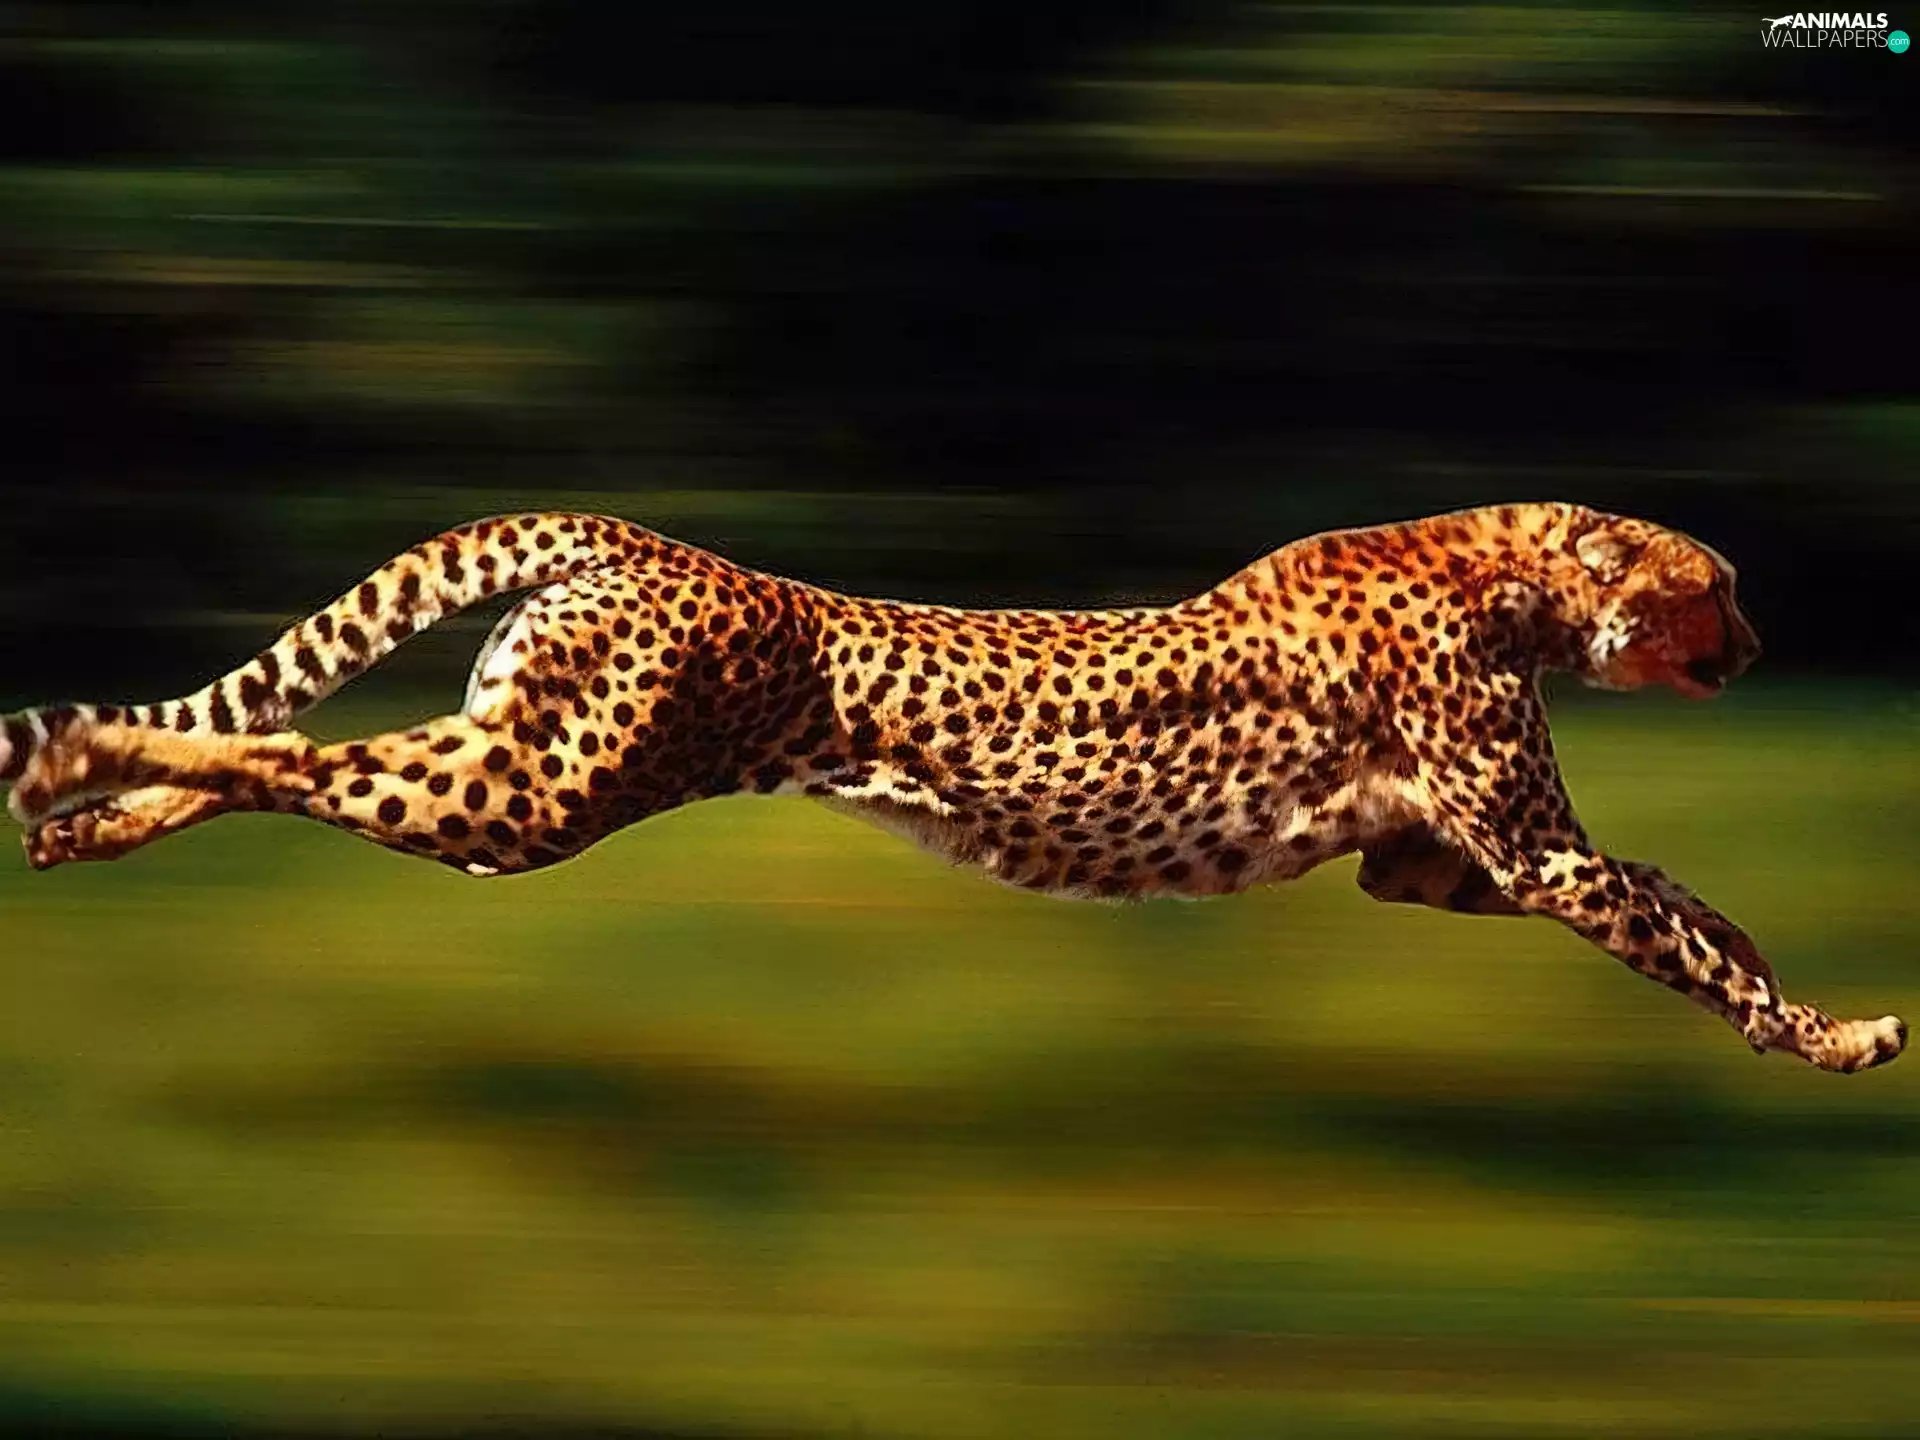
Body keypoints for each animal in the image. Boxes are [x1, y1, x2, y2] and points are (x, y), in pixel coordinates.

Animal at [0, 502, 1905, 1072]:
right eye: (1720, 583)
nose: (1758, 638)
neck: (1508, 570)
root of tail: (641, 536)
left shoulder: (1434, 866)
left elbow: (1687, 899)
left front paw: (1806, 1006)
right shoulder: (1527, 856)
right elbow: (1678, 927)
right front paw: (1828, 1035)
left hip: (509, 775)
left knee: (297, 759)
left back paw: (86, 814)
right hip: (540, 795)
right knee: (287, 749)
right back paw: (82, 760)